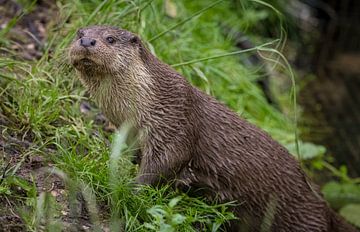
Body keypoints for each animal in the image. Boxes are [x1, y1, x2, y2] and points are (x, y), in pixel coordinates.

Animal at [68, 26, 358, 231]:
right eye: (80, 33)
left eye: (110, 39)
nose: (86, 42)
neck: (149, 101)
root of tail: (324, 207)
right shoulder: (132, 133)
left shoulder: (175, 123)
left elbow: (165, 163)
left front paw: (127, 188)